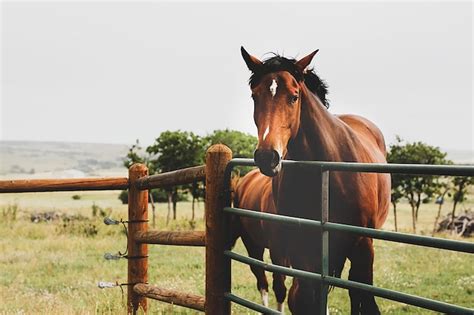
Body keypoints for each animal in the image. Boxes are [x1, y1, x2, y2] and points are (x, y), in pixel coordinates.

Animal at [243, 47, 390, 315]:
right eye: (254, 96)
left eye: (294, 97)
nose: (267, 157)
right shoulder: (303, 250)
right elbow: (304, 299)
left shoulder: (363, 246)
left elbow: (365, 298)